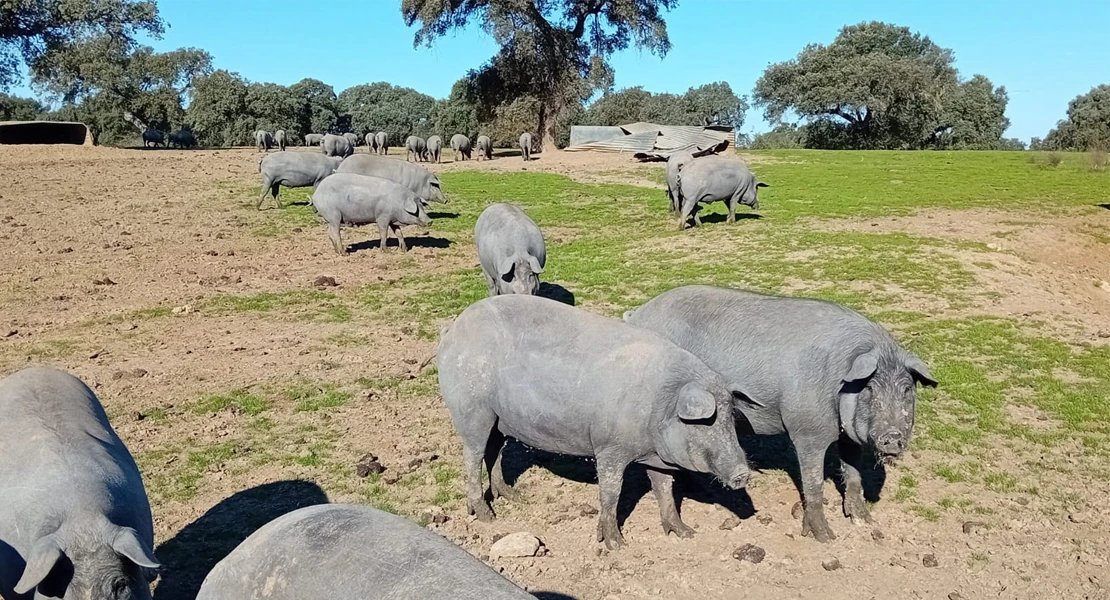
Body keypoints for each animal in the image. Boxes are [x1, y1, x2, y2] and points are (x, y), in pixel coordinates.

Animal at [435, 295, 754, 547]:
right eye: (706, 421)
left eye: (730, 418)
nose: (743, 473)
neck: (659, 403)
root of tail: (453, 329)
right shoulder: (609, 448)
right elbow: (611, 493)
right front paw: (616, 545)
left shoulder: (656, 457)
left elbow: (665, 489)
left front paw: (685, 533)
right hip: (472, 410)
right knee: (472, 456)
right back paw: (487, 516)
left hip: (500, 420)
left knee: (494, 453)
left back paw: (515, 496)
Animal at [626, 286, 936, 543]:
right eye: (870, 388)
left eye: (907, 389)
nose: (892, 436)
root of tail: (637, 314)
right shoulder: (807, 431)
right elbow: (813, 485)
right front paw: (826, 538)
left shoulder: (849, 437)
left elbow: (854, 475)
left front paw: (864, 522)